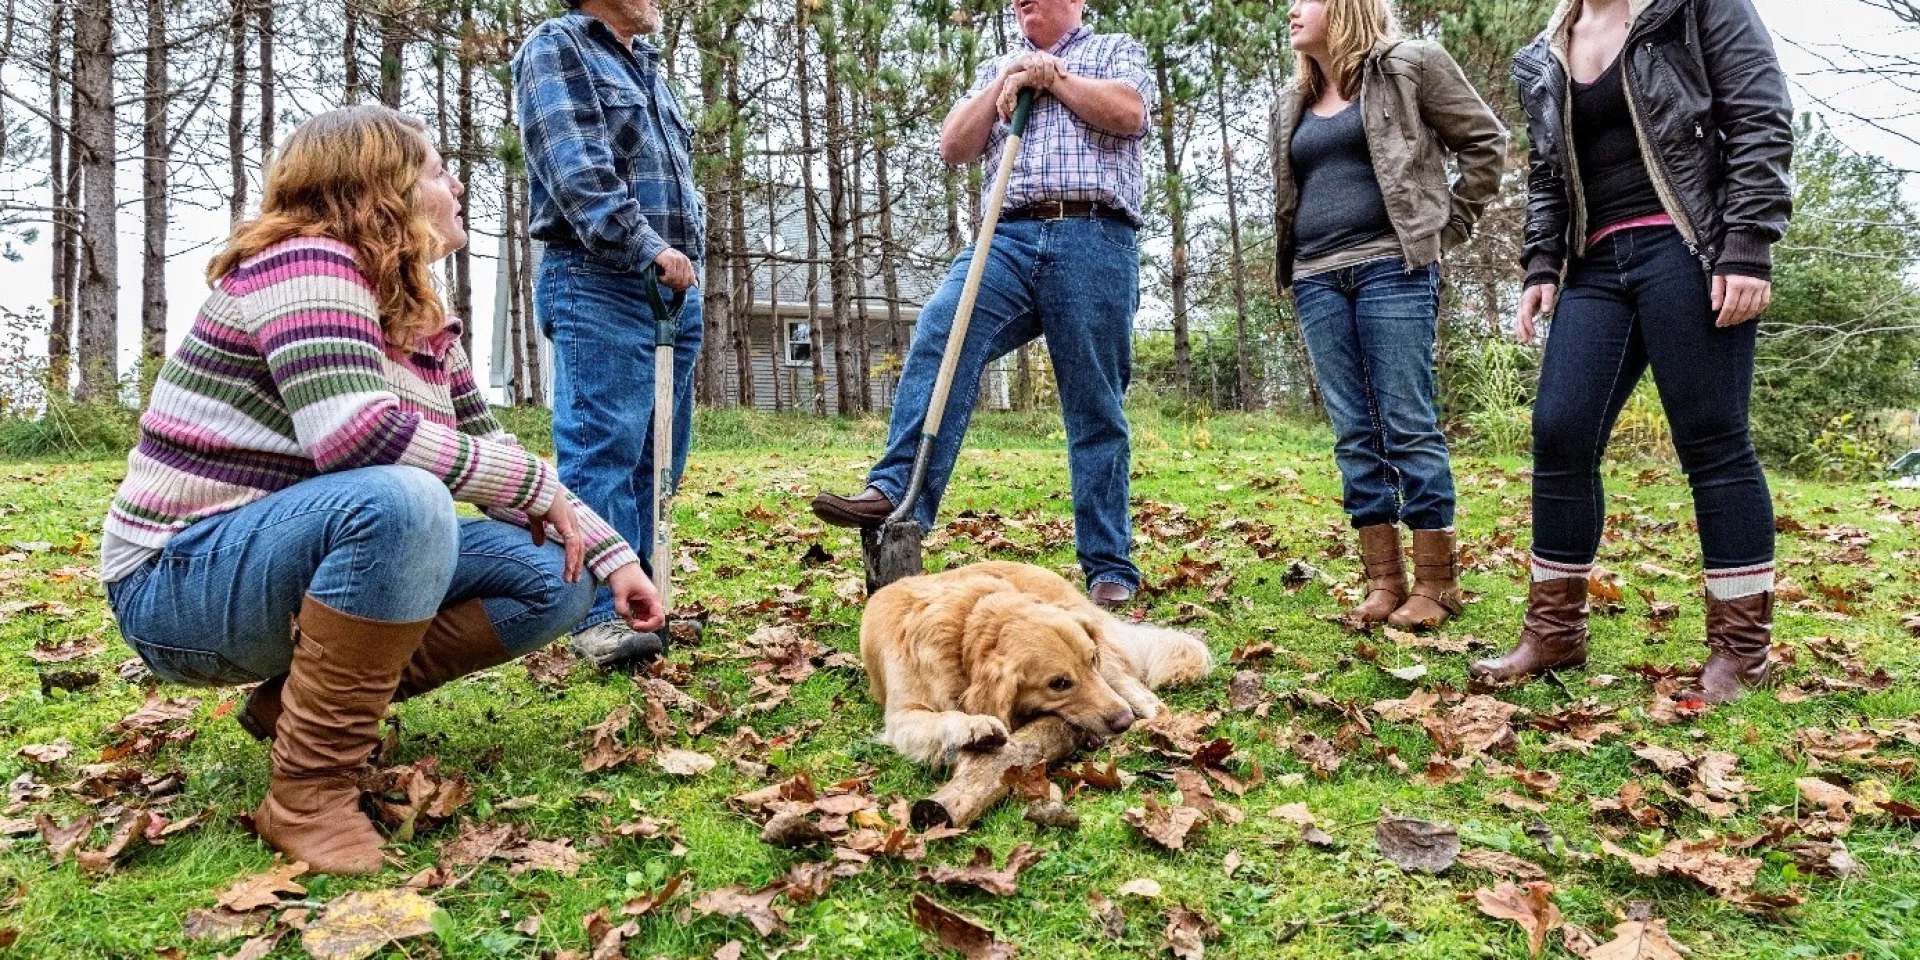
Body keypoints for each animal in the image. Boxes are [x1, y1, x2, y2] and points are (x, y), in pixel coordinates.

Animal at [860, 561, 1213, 766]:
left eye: (1091, 660)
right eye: (1058, 684)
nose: (1123, 721)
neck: (963, 626)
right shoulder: (902, 716)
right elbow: (944, 717)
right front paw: (974, 725)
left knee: (1146, 697)